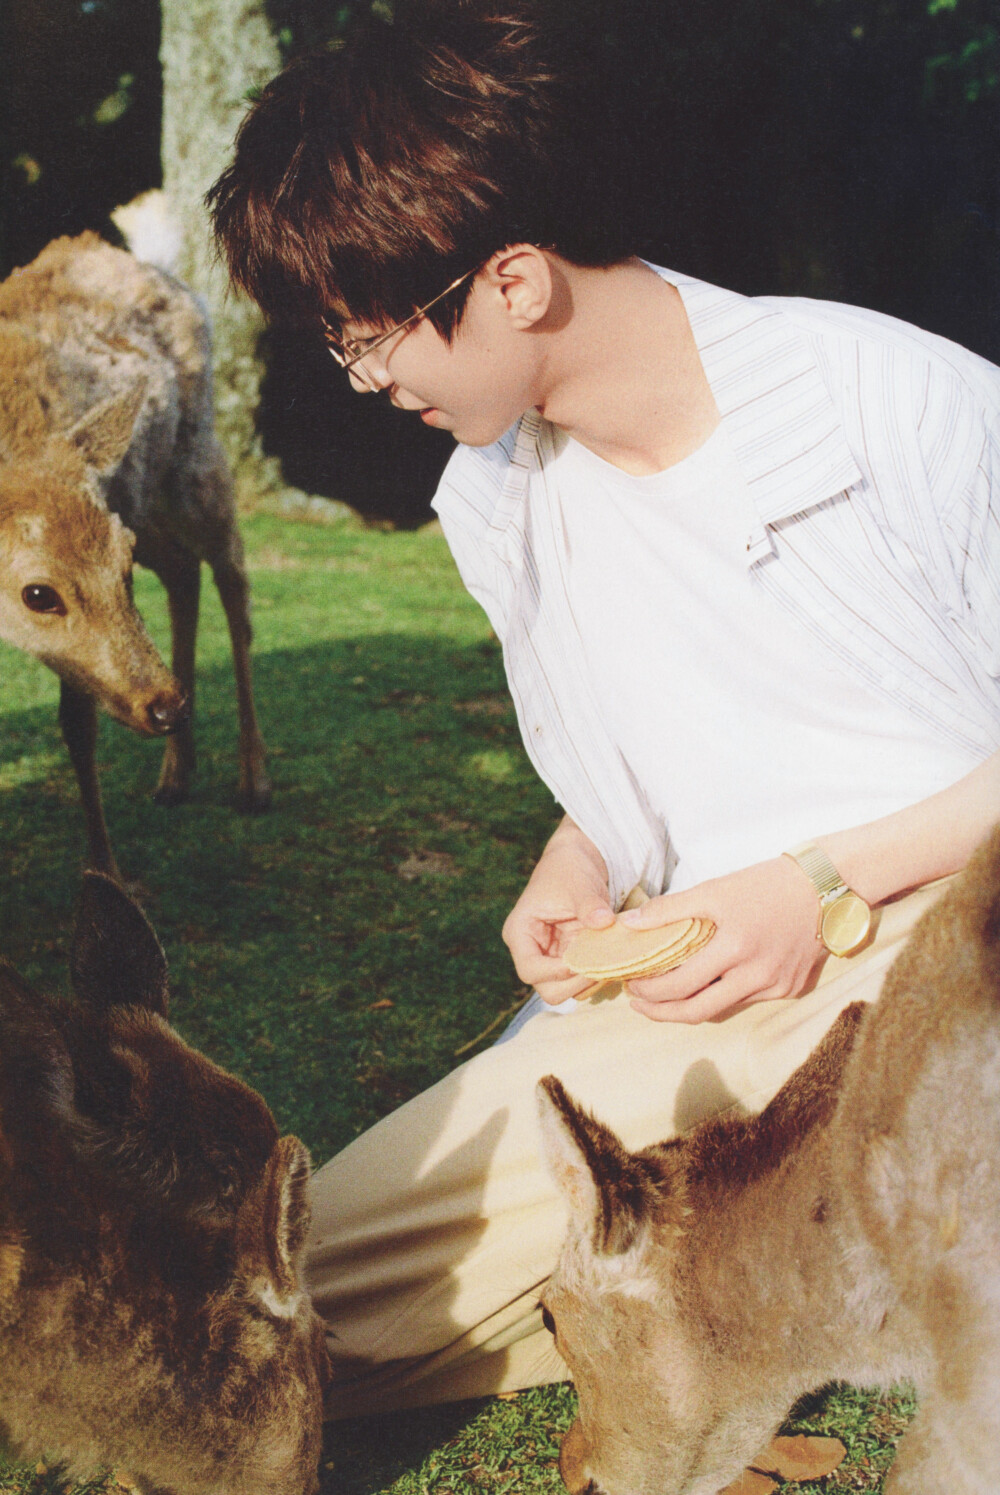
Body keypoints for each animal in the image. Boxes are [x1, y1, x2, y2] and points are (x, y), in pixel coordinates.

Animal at [0, 228, 269, 879]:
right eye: (38, 594)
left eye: (120, 572)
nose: (164, 704)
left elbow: (78, 728)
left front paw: (106, 873)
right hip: (147, 503)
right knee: (183, 573)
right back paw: (177, 773)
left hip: (194, 463)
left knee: (233, 576)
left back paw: (253, 779)